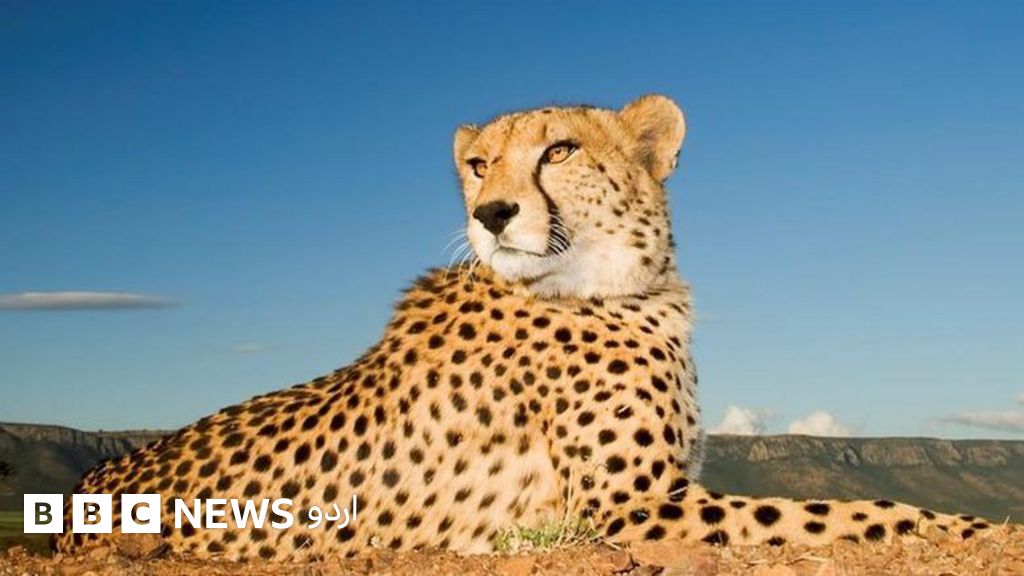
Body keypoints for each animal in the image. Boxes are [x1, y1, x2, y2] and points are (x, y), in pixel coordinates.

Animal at [54, 95, 993, 560]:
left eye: (560, 151)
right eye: (478, 164)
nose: (491, 212)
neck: (609, 282)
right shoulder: (627, 510)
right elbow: (847, 509)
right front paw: (968, 528)